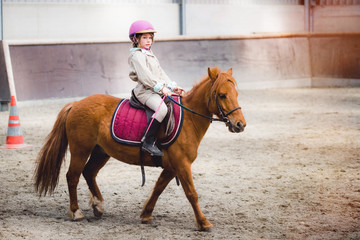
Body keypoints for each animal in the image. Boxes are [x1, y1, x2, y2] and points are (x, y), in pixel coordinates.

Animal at [34, 66, 245, 232]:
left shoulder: (172, 167)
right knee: (73, 176)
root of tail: (76, 103)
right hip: (80, 150)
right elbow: (191, 193)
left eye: (236, 94)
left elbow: (158, 188)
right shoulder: (182, 164)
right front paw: (203, 223)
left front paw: (146, 215)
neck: (189, 120)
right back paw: (76, 212)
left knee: (89, 173)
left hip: (101, 152)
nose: (240, 124)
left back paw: (98, 206)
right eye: (222, 95)